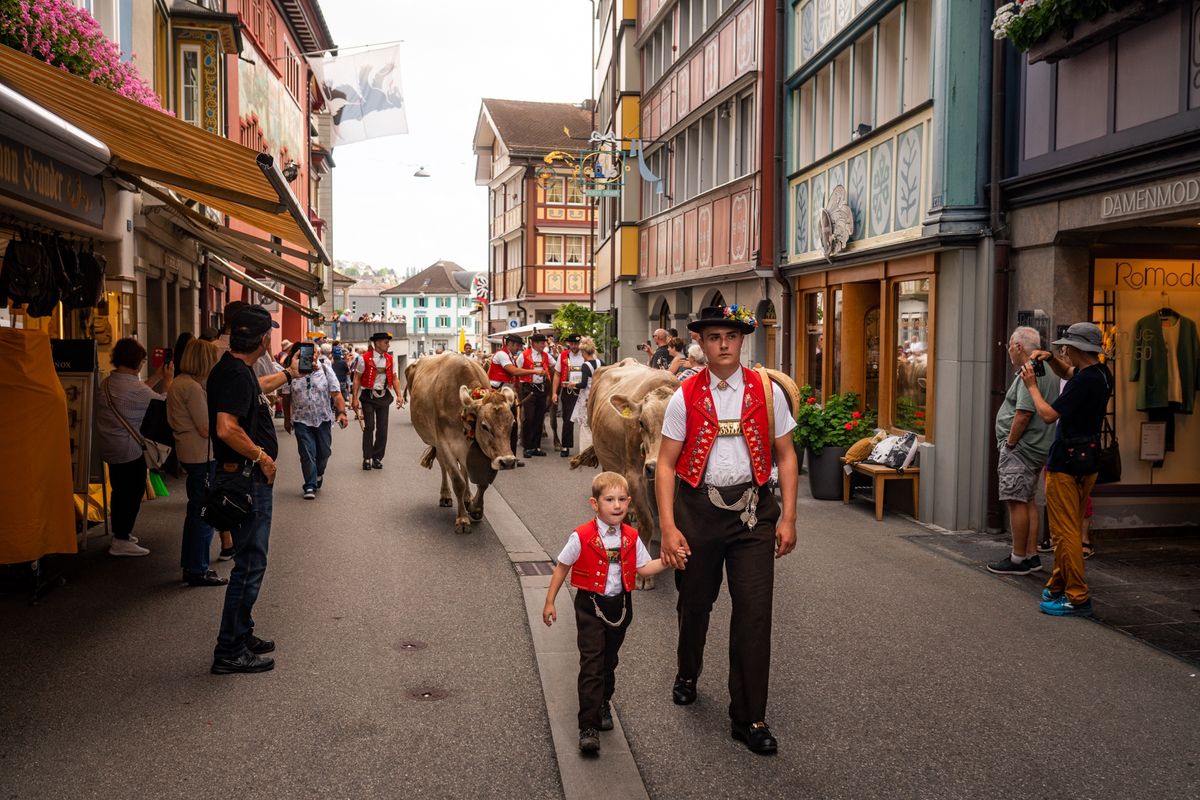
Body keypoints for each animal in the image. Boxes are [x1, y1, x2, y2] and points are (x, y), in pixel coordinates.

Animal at [408, 352, 516, 534]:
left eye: (512, 423)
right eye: (484, 426)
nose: (507, 461)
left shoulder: (480, 449)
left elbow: (482, 481)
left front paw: (476, 508)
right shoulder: (445, 443)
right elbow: (457, 481)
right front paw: (463, 519)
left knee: (464, 469)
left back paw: (467, 498)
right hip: (438, 444)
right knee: (444, 466)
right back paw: (446, 495)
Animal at [568, 359, 676, 585]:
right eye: (641, 422)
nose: (653, 466)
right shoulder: (634, 475)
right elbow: (646, 521)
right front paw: (643, 574)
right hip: (609, 461)